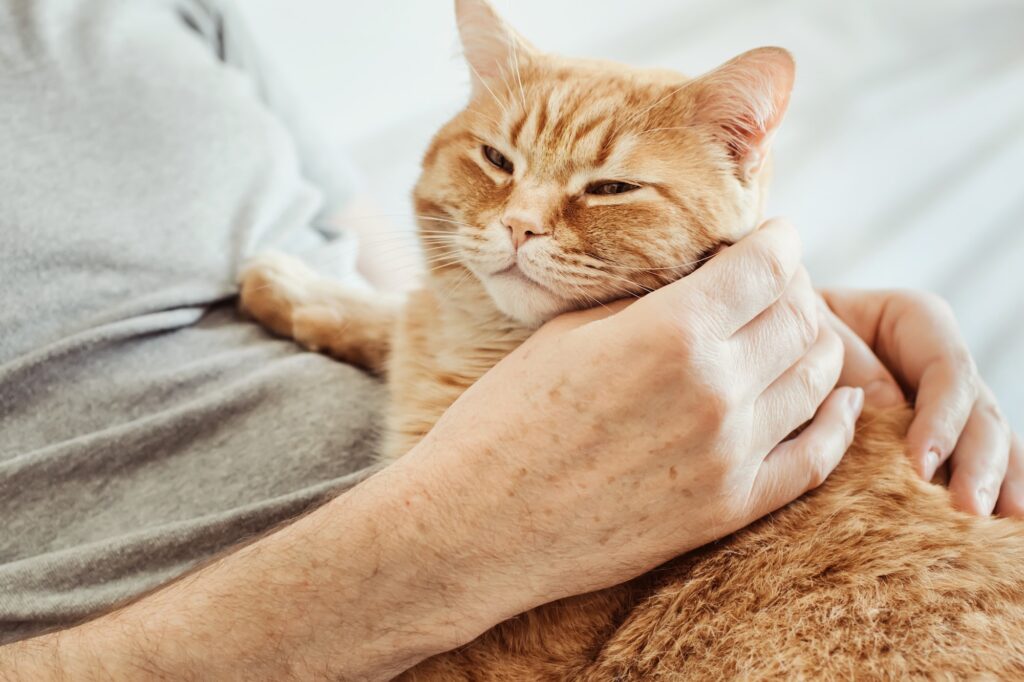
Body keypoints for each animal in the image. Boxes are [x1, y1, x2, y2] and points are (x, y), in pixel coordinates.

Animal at [237, 0, 1024, 675]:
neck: (481, 349)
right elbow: (398, 314)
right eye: (498, 160)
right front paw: (296, 289)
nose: (519, 225)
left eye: (611, 189)